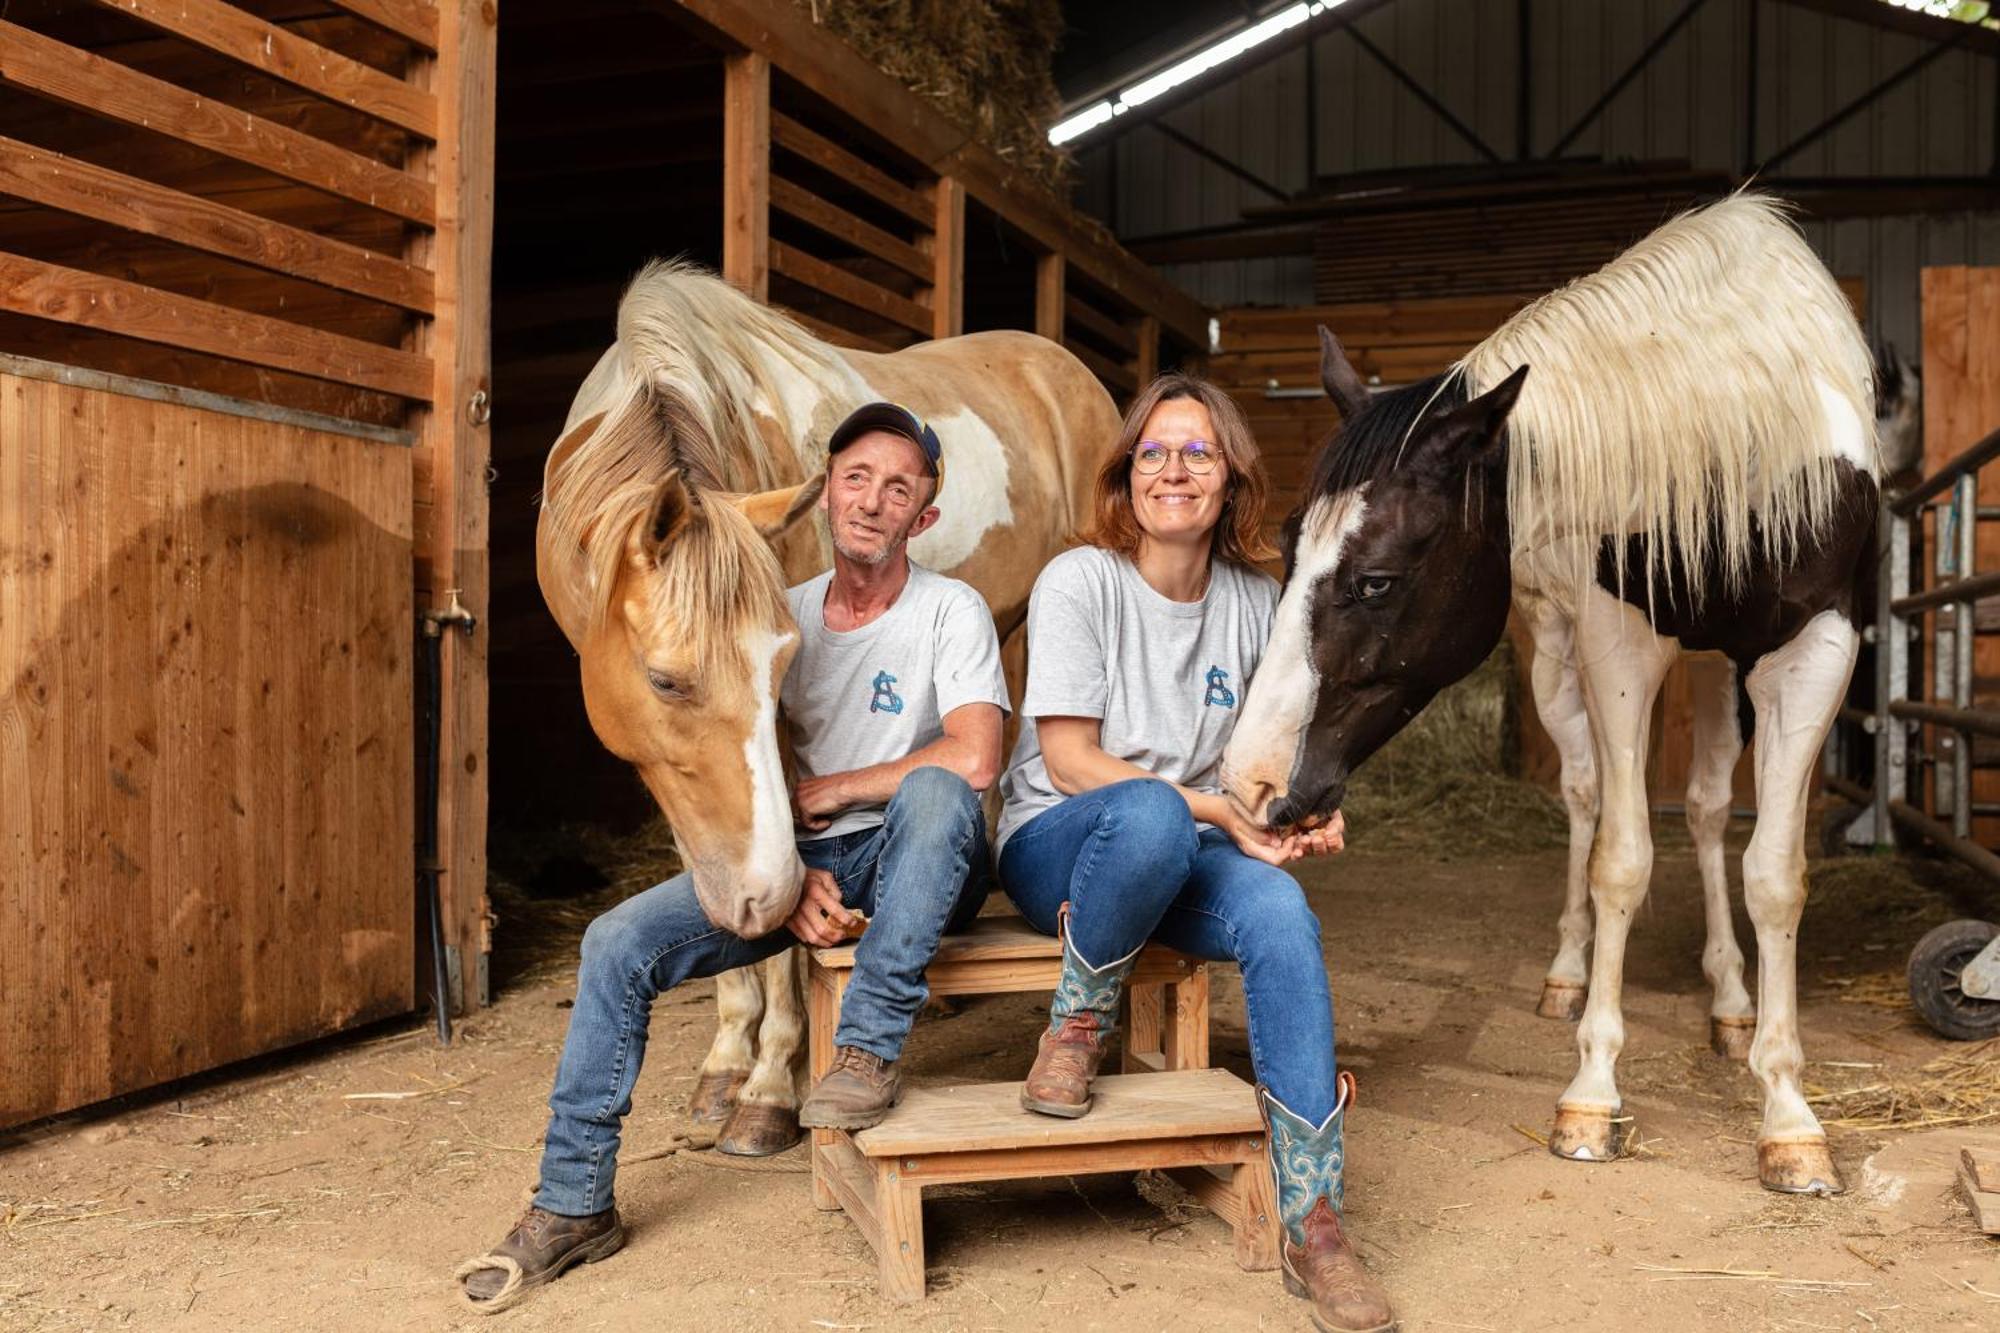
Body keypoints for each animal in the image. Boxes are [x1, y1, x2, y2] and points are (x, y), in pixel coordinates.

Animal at [540, 262, 1120, 1152]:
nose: (764, 891)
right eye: (666, 681)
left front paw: (769, 1087)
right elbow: (718, 873)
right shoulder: (656, 757)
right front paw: (722, 1067)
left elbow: (781, 919)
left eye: (786, 665)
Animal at [1224, 197, 1880, 1192]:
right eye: (1290, 549)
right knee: (1583, 796)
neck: (1742, 435)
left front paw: (1789, 1114)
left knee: (1704, 806)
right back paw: (1571, 974)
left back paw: (1729, 998)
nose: (1249, 783)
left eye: (1376, 580)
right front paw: (1593, 1093)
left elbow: (1772, 872)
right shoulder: (1616, 639)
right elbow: (1619, 858)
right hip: (1560, 658)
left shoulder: (1821, 648)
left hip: (1719, 666)